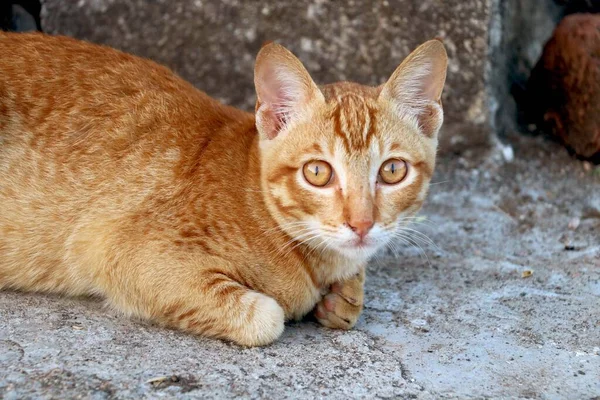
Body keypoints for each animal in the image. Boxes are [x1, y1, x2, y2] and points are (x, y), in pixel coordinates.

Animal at [0, 31, 446, 346]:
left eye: (392, 170)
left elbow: (351, 298)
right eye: (318, 173)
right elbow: (268, 316)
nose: (362, 224)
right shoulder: (126, 254)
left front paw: (344, 296)